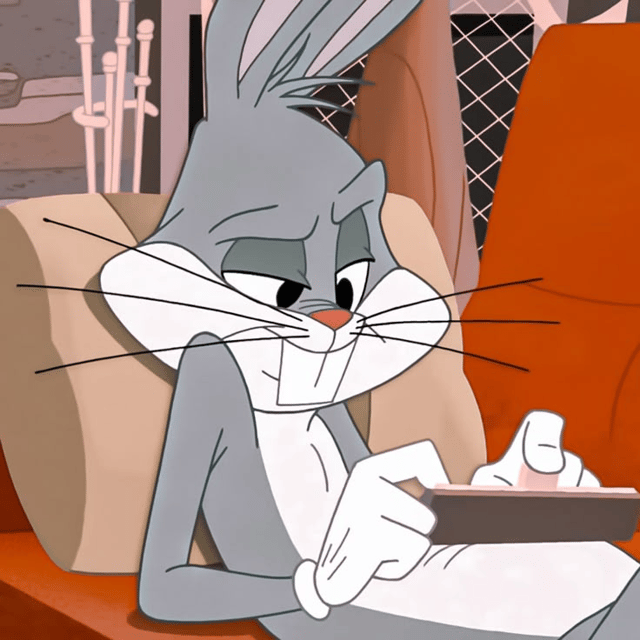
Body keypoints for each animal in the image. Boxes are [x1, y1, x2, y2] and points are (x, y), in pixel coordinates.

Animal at [100, 1, 640, 638]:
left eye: (348, 283)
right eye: (281, 289)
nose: (337, 319)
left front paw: (540, 476)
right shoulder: (209, 372)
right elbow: (166, 580)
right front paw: (359, 544)